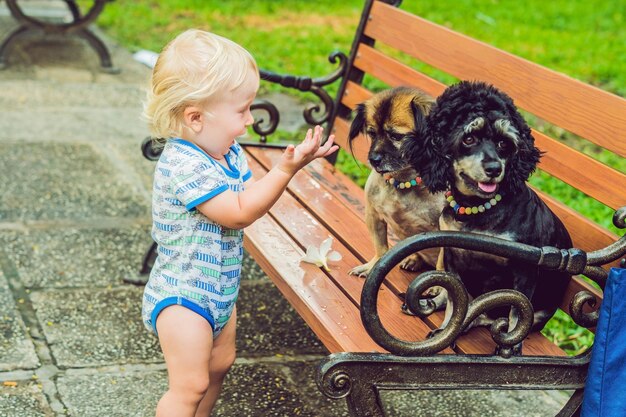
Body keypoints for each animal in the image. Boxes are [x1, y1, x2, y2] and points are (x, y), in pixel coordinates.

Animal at [346, 86, 444, 276]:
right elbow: (381, 248)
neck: (404, 179)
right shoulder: (373, 215)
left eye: (396, 136)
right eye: (372, 133)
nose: (374, 159)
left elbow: (442, 264)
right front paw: (373, 266)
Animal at [404, 80, 572, 334]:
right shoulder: (452, 256)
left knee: (488, 315)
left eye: (504, 143)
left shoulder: (525, 272)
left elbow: (516, 317)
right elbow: (454, 301)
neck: (476, 210)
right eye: (469, 139)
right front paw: (446, 327)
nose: (494, 169)